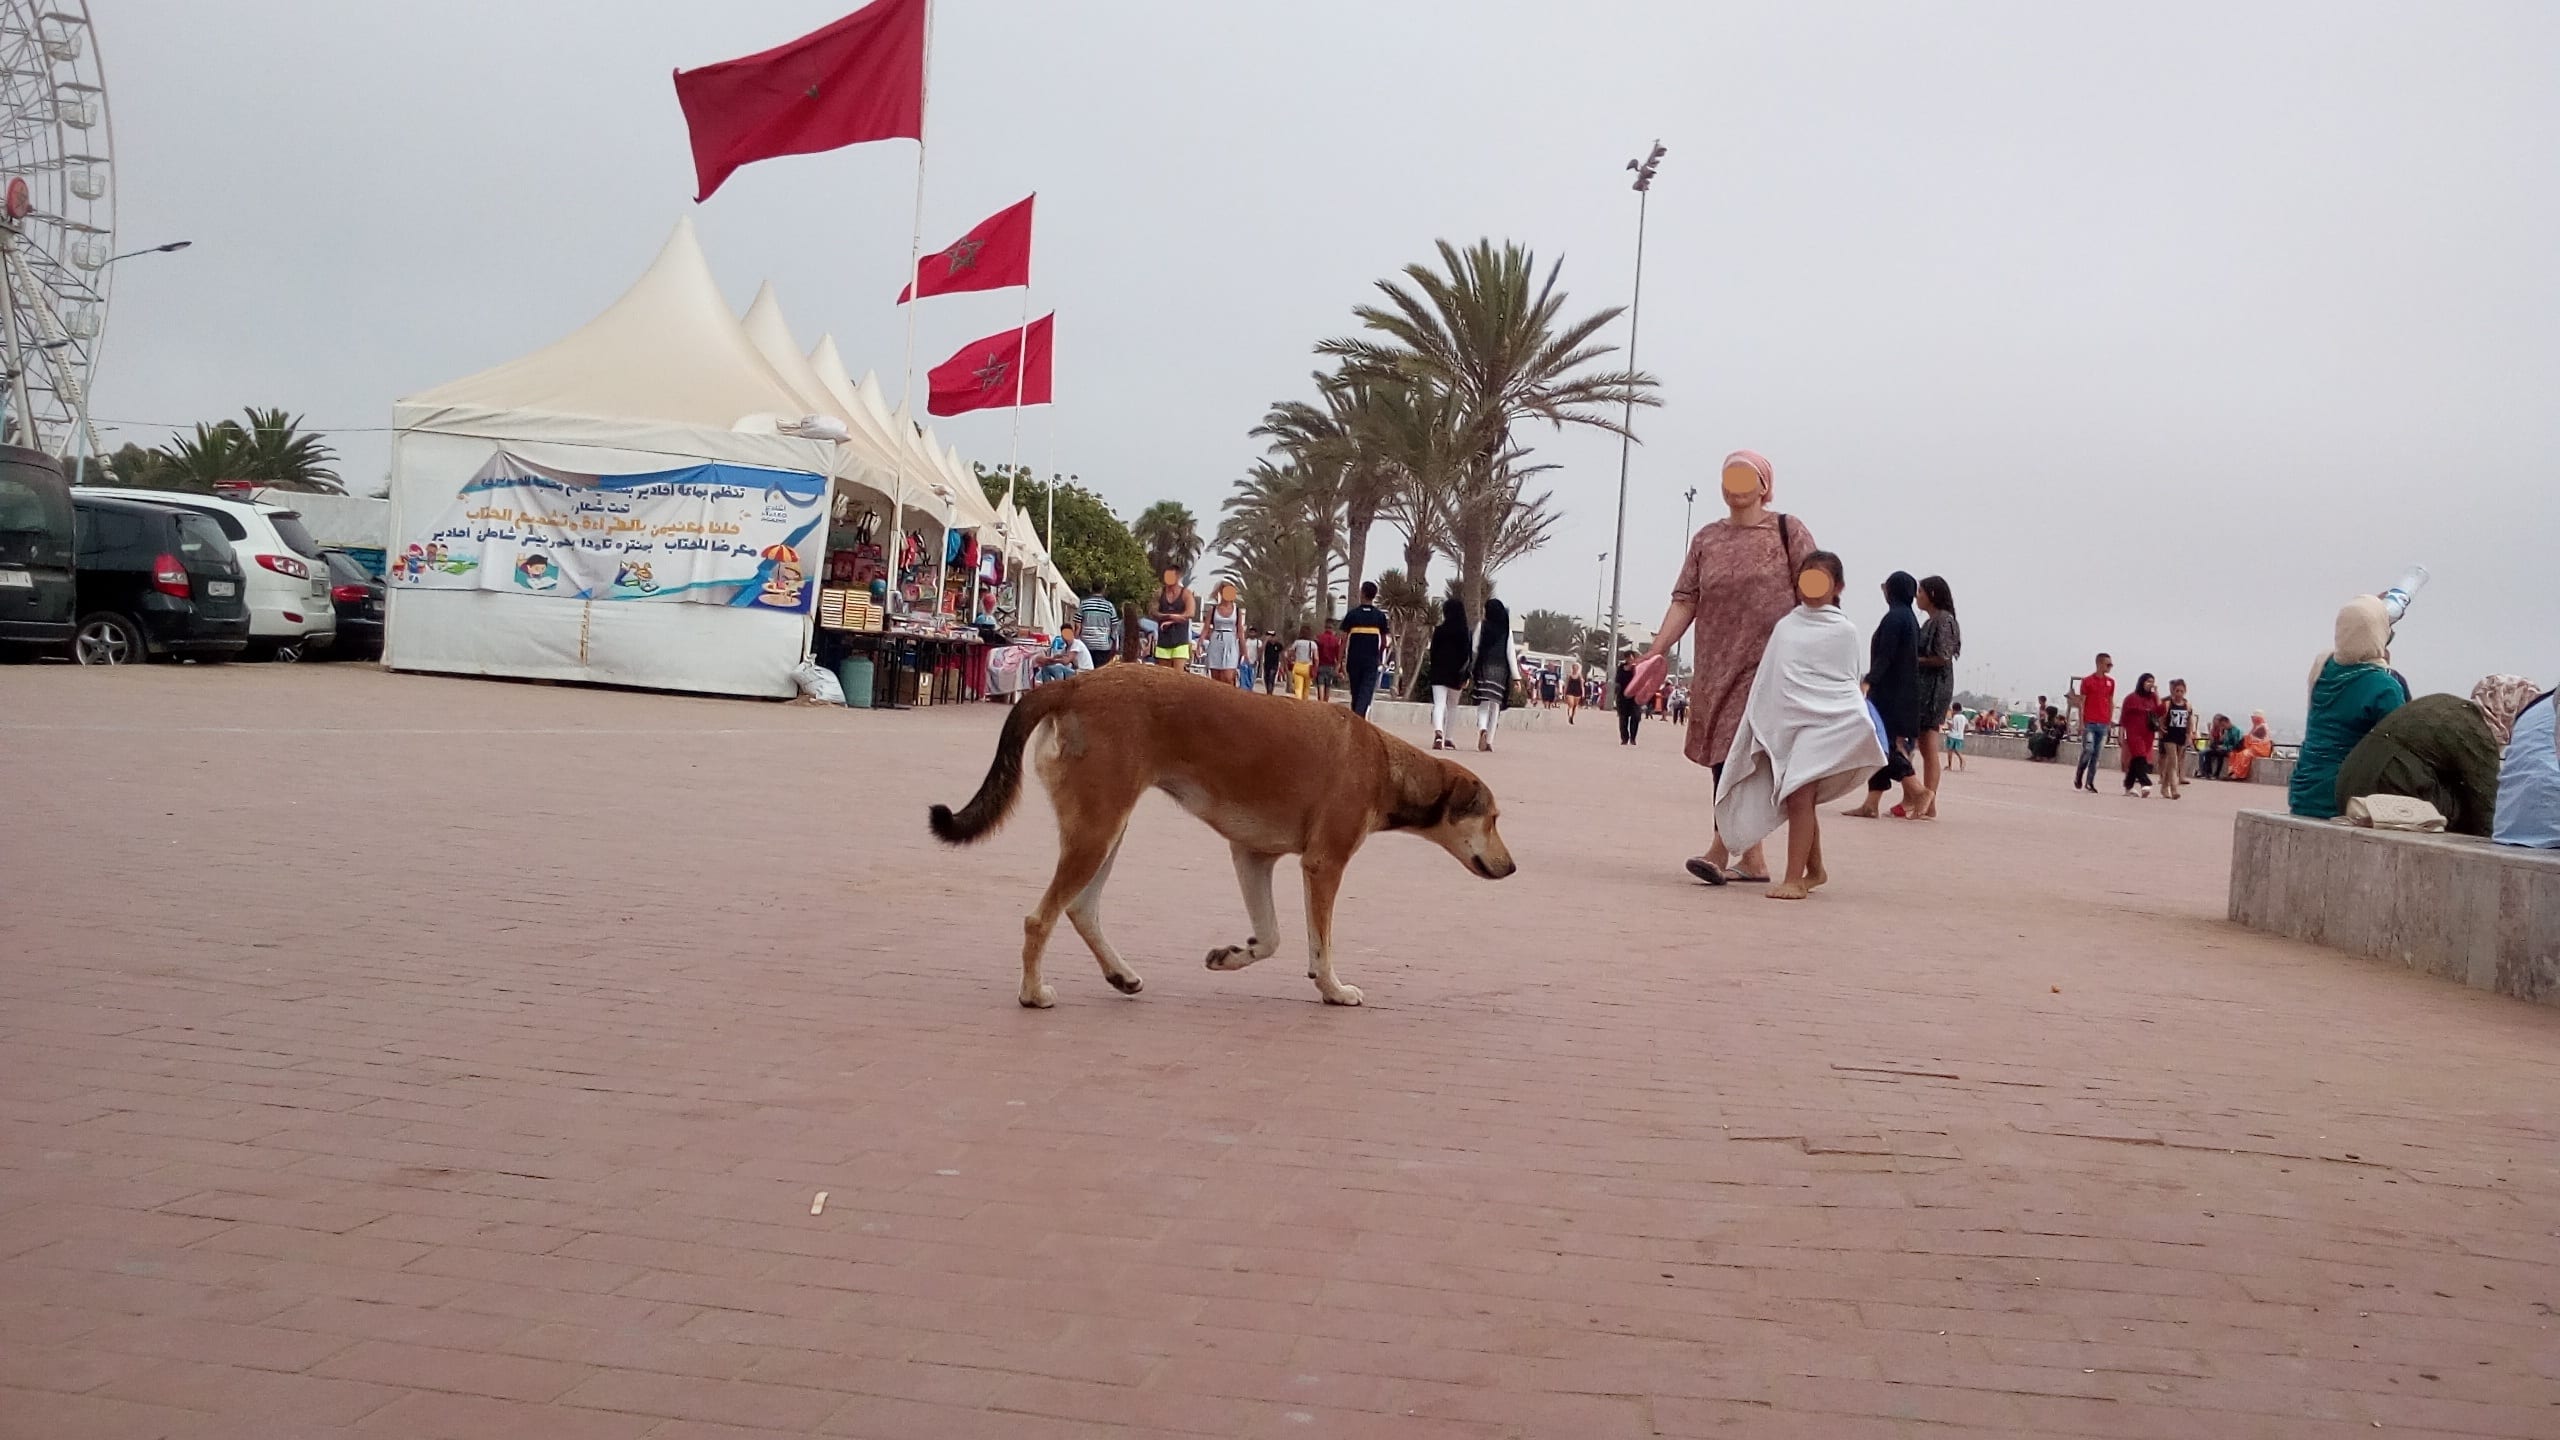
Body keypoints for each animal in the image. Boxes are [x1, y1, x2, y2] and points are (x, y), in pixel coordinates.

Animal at [931, 661, 1505, 1004]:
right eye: (1494, 818)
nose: (1512, 865)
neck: (1386, 765)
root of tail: (1075, 682)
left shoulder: (1252, 856)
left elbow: (1271, 938)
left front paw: (1232, 956)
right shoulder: (1324, 865)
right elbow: (1320, 944)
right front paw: (1334, 989)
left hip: (1105, 829)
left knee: (1080, 909)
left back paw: (1121, 974)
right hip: (1097, 829)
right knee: (1040, 918)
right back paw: (1032, 992)